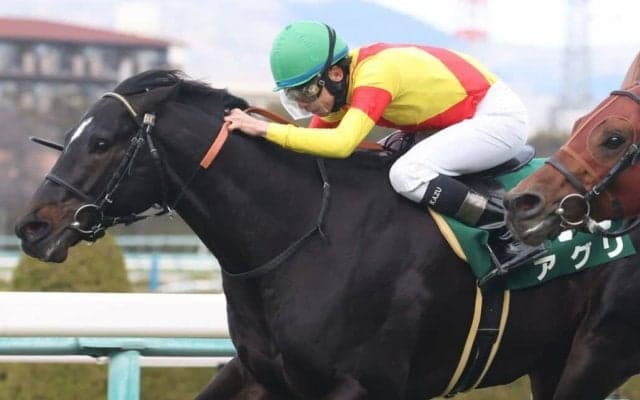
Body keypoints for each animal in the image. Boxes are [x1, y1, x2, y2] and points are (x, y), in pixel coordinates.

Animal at [14, 69, 640, 400]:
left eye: (101, 143)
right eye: (72, 136)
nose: (32, 225)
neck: (304, 237)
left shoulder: (363, 385)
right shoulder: (263, 375)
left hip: (598, 352)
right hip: (551, 357)